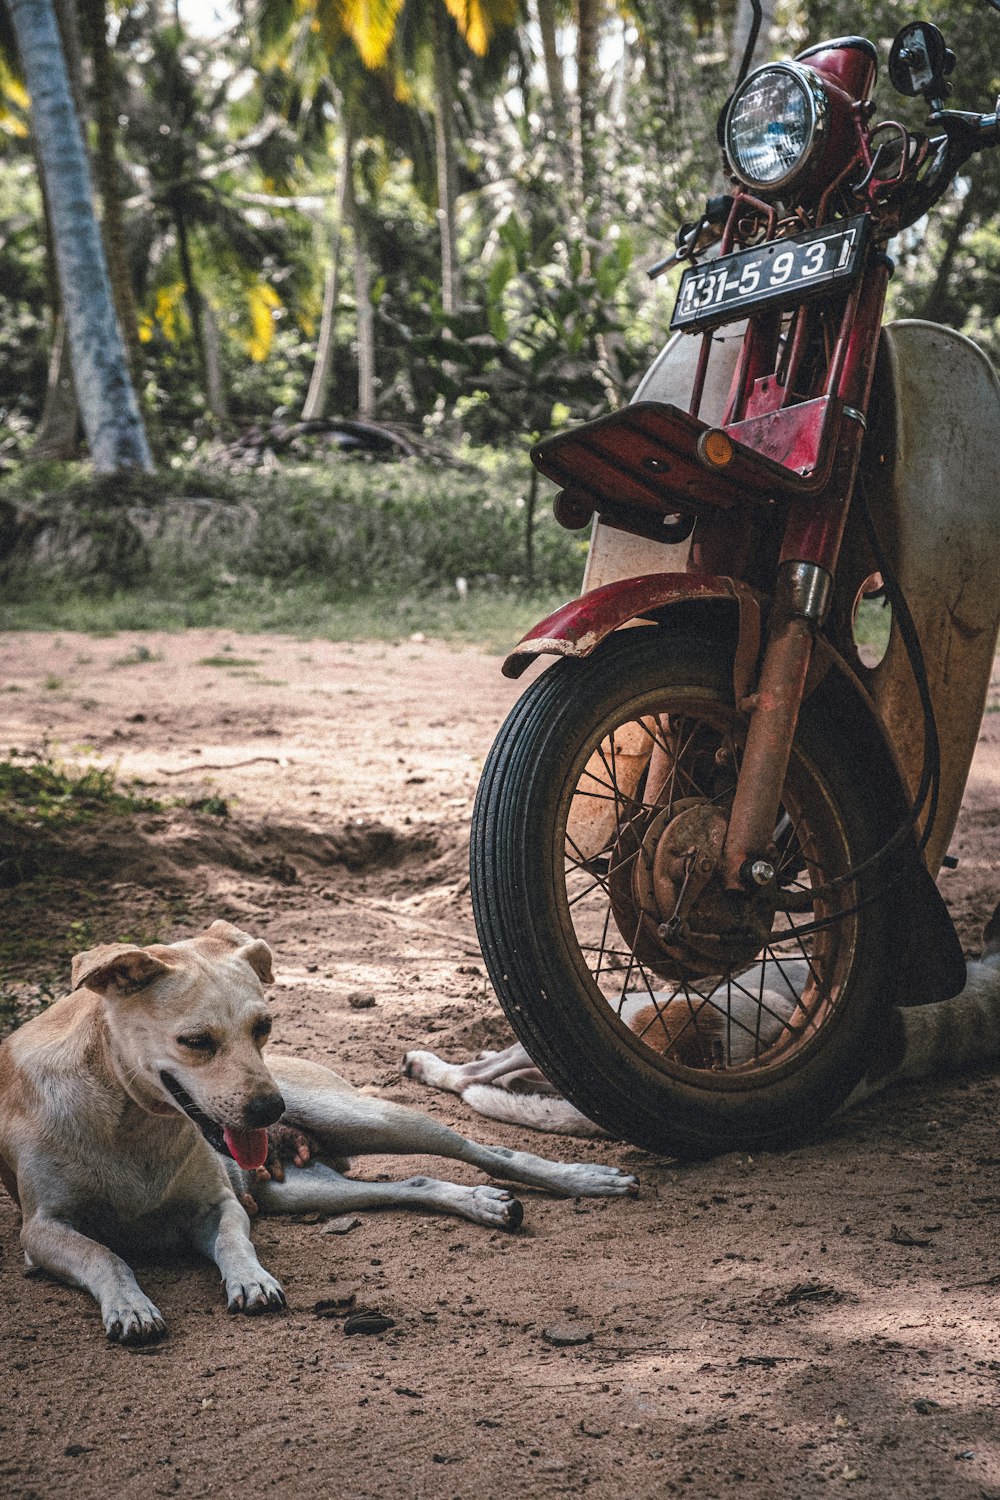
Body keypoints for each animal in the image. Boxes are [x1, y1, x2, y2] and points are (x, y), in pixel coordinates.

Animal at [0, 918, 638, 1344]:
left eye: (263, 1026)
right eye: (196, 1041)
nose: (271, 1111)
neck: (127, 1120)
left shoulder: (219, 1206)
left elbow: (234, 1242)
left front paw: (251, 1281)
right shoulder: (42, 1230)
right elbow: (105, 1255)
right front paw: (131, 1307)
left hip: (375, 1120)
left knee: (489, 1149)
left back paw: (583, 1180)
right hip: (303, 1190)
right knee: (416, 1185)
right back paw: (482, 1203)